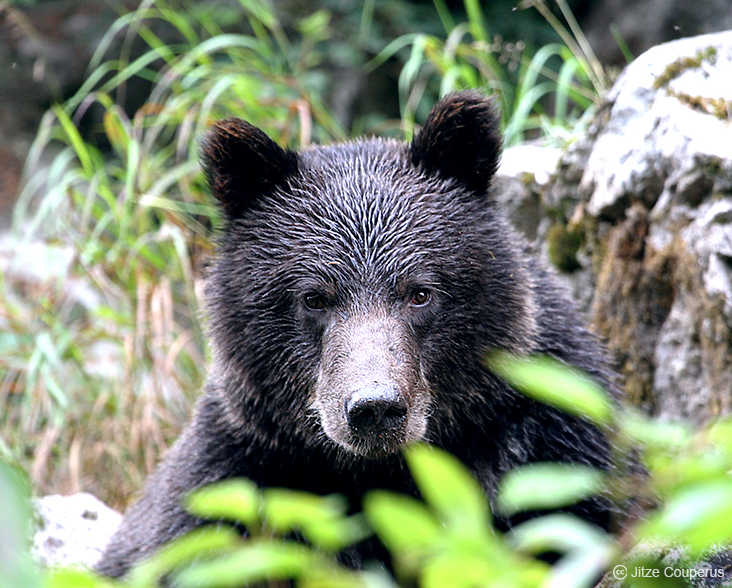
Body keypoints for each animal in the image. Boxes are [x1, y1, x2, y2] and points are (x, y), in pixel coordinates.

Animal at [96, 92, 612, 580]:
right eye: (314, 298)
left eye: (420, 292)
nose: (375, 407)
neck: (383, 472)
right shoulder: (237, 472)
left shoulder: (550, 441)